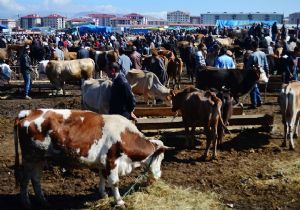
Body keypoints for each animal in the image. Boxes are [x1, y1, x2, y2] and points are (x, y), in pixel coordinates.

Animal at [14, 109, 173, 208]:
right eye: (161, 158)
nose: (159, 175)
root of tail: (30, 112)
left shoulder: (103, 162)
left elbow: (102, 177)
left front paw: (103, 194)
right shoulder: (111, 160)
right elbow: (114, 182)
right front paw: (119, 202)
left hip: (40, 158)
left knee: (36, 179)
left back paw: (43, 201)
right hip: (30, 157)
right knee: (25, 179)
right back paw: (26, 202)